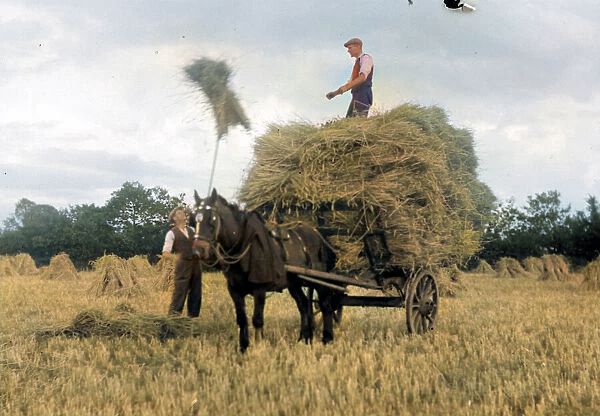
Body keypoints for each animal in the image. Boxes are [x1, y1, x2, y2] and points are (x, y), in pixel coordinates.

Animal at [193, 190, 340, 352]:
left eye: (212, 219)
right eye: (195, 219)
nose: (199, 250)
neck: (246, 244)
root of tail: (317, 235)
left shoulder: (260, 288)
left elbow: (257, 319)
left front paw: (259, 346)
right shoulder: (235, 291)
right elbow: (242, 319)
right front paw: (243, 347)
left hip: (320, 280)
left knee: (326, 305)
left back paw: (327, 338)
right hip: (294, 284)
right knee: (302, 305)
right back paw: (304, 338)